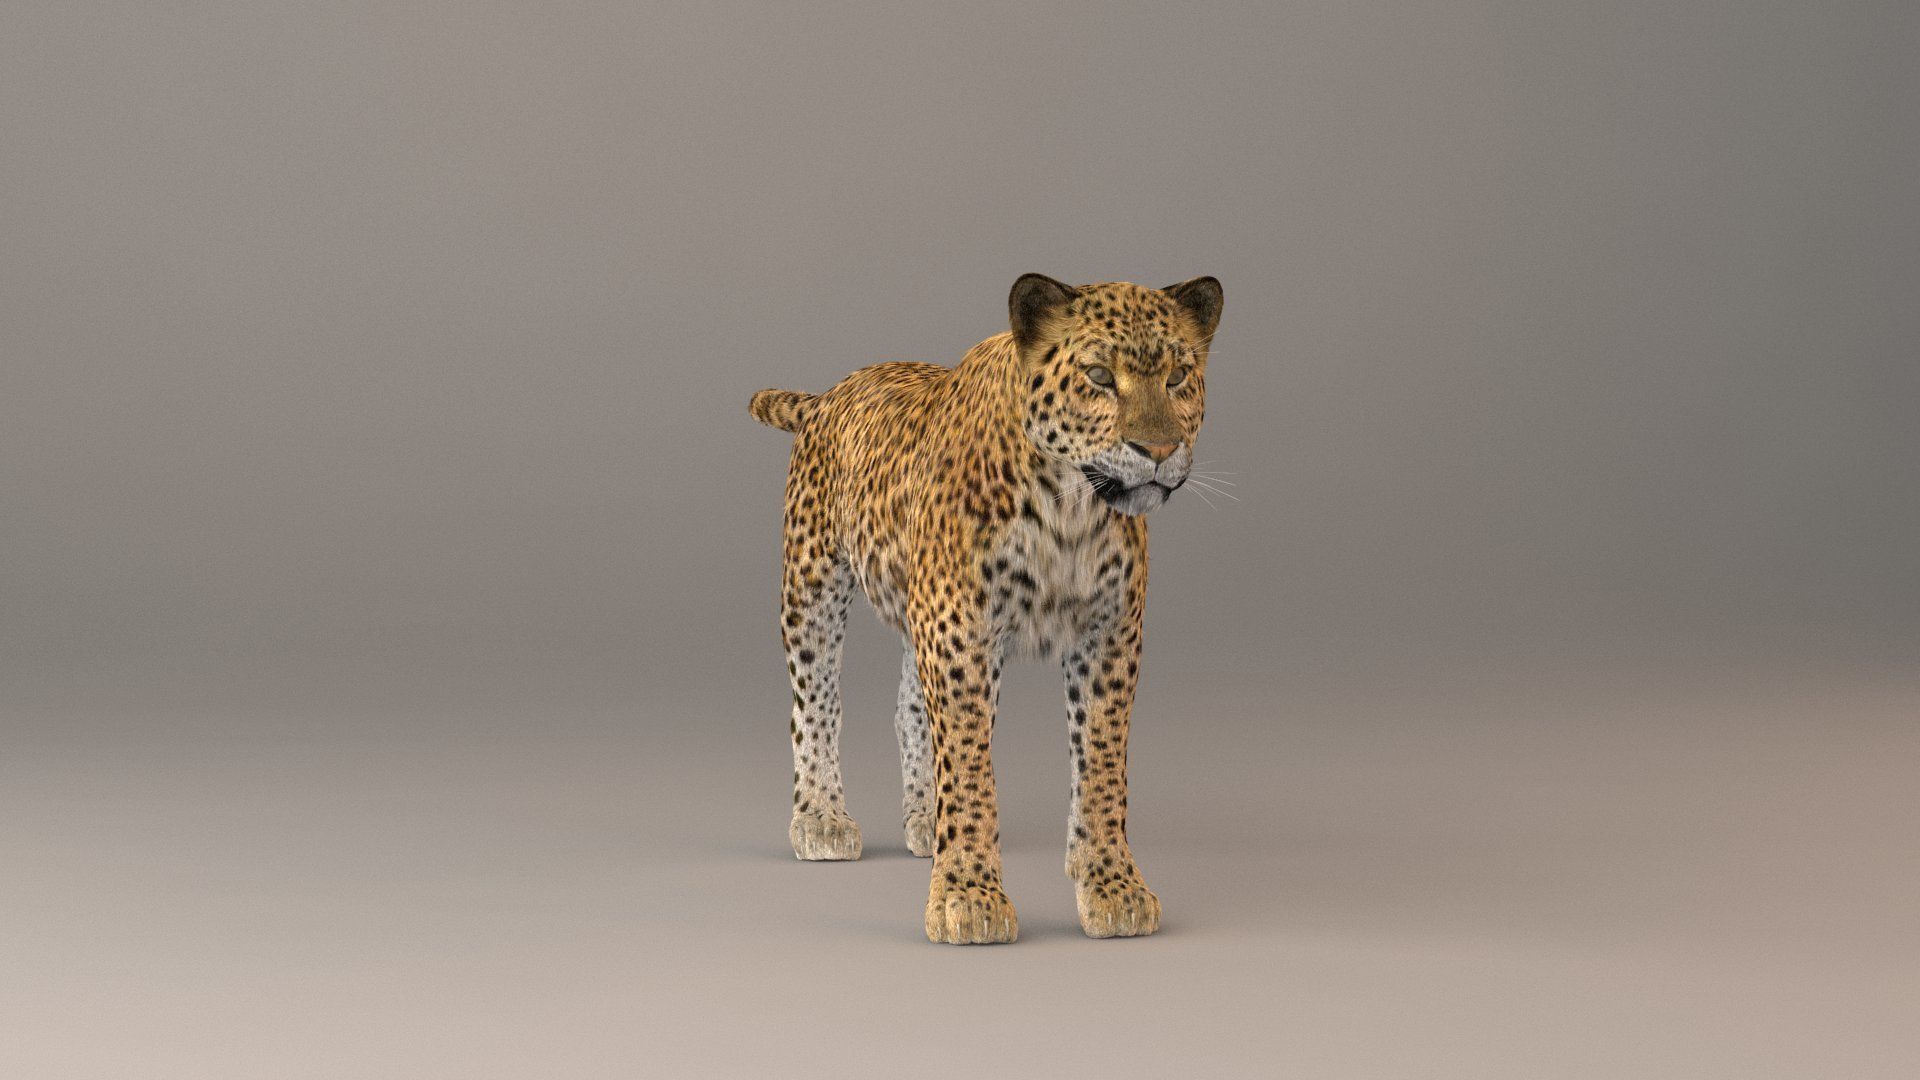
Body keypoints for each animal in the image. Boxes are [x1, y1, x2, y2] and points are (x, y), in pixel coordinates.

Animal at [747, 273, 1222, 944]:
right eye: (1099, 376)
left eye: (1179, 376)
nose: (1157, 449)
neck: (1069, 511)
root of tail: (826, 396)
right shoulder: (961, 634)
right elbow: (970, 767)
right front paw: (967, 895)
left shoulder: (1108, 637)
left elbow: (1101, 765)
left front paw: (1111, 885)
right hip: (812, 582)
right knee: (815, 701)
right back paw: (821, 819)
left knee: (909, 710)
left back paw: (924, 820)